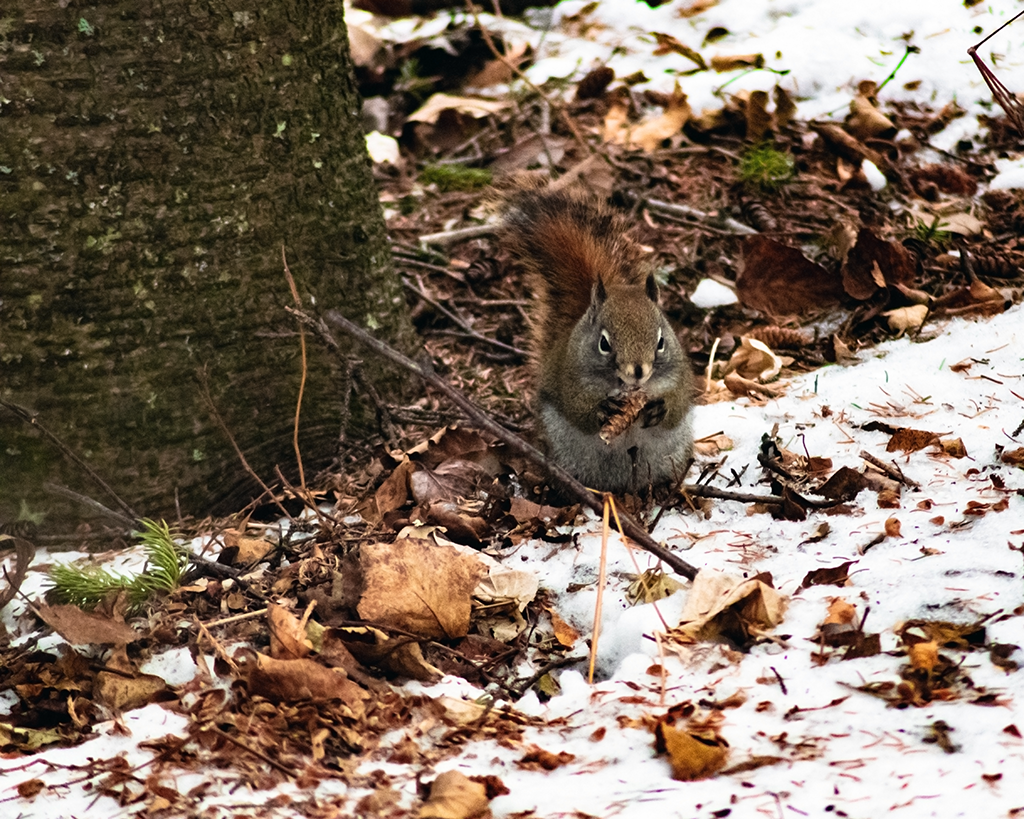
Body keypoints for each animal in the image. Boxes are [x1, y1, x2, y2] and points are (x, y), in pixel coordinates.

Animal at [499, 186, 694, 493]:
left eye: (661, 341)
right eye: (604, 343)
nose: (638, 372)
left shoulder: (680, 379)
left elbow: (678, 405)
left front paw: (659, 409)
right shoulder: (569, 379)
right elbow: (578, 410)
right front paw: (604, 409)